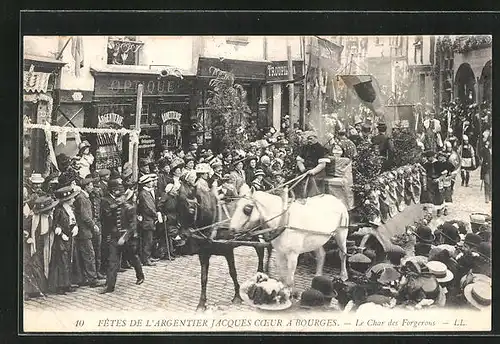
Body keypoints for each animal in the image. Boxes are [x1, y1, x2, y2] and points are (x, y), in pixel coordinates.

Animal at [175, 183, 270, 312]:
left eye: (191, 209)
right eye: (177, 209)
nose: (181, 236)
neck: (214, 221)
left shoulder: (228, 250)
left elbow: (233, 272)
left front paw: (237, 296)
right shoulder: (203, 254)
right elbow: (203, 278)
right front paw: (201, 303)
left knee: (265, 248)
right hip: (251, 236)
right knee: (260, 249)